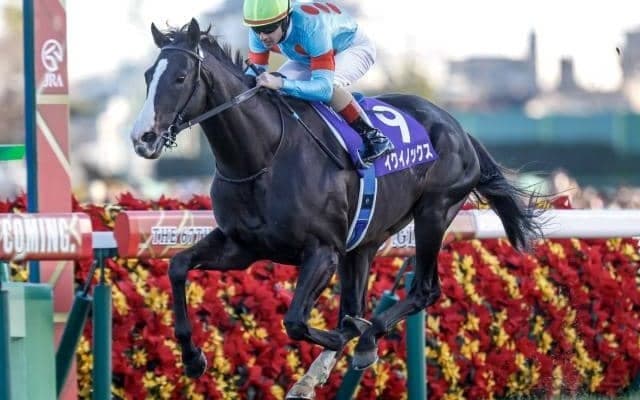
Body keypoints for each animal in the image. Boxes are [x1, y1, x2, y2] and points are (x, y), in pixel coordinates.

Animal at [129, 18, 543, 397]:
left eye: (181, 76)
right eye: (148, 75)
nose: (142, 137)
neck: (263, 156)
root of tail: (457, 127)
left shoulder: (323, 251)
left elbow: (297, 321)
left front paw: (351, 339)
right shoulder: (242, 246)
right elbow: (178, 266)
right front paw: (192, 357)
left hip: (434, 214)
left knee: (423, 290)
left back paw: (364, 340)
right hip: (364, 241)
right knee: (357, 301)